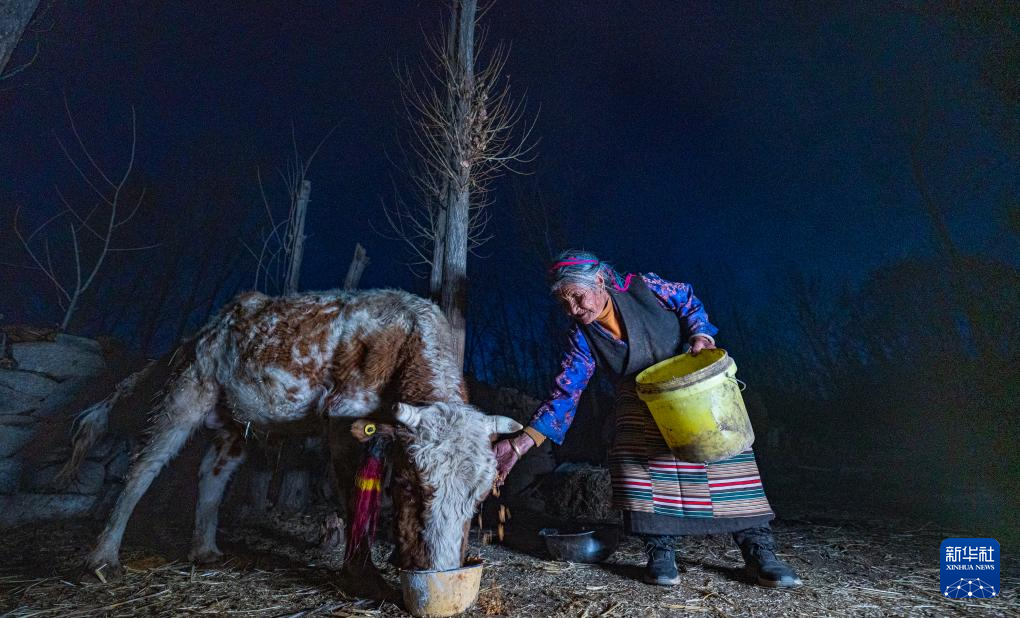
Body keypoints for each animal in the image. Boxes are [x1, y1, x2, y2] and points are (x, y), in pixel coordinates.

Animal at [76, 288, 520, 590]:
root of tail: (210, 325)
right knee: (143, 468)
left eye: (480, 497)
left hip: (235, 419)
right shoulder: (343, 421)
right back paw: (103, 556)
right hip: (188, 390)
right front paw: (362, 575)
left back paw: (204, 550)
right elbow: (356, 495)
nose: (440, 567)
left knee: (213, 473)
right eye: (411, 484)